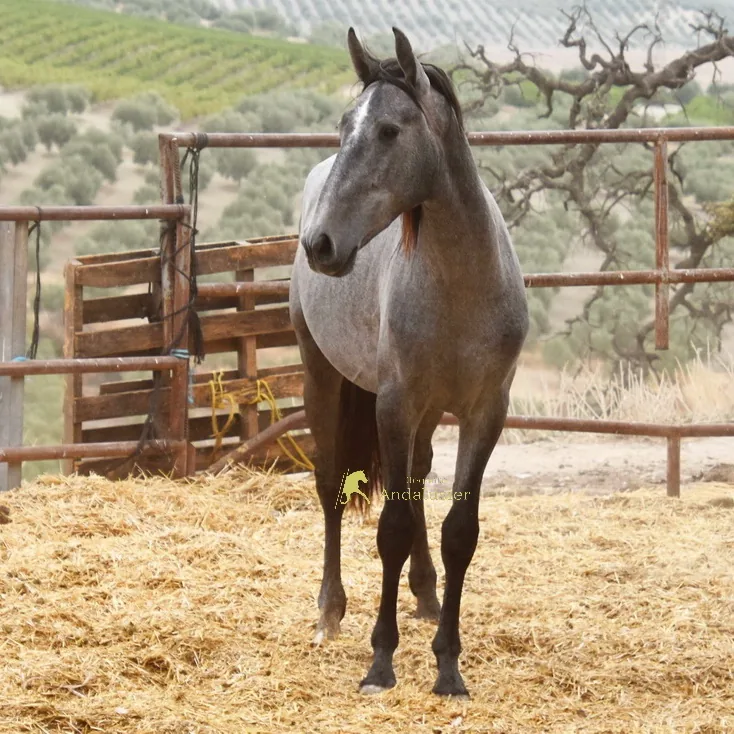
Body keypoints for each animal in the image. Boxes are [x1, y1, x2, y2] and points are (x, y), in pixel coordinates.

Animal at [289, 27, 528, 698]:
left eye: (390, 131)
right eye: (345, 125)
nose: (320, 244)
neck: (461, 286)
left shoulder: (484, 413)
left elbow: (458, 532)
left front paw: (448, 665)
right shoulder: (394, 405)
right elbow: (391, 530)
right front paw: (381, 661)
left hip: (425, 416)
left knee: (417, 482)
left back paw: (425, 598)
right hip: (322, 378)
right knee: (330, 487)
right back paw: (330, 611)